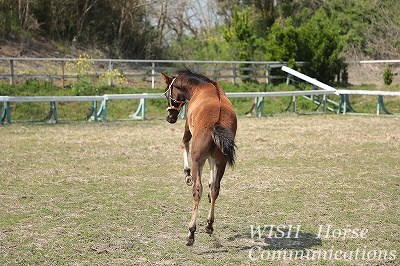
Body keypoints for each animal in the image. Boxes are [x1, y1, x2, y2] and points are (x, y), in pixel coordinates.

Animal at [162, 68, 238, 245]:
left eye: (167, 94)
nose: (170, 117)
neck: (201, 87)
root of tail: (217, 122)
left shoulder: (188, 129)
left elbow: (183, 144)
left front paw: (187, 174)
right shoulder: (213, 158)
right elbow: (212, 174)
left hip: (197, 160)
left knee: (197, 190)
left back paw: (191, 232)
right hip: (222, 161)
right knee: (216, 188)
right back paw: (209, 225)